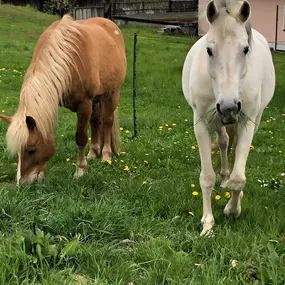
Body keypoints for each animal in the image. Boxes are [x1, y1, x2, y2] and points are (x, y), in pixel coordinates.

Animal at [0, 15, 126, 184]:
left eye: (32, 150)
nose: (23, 184)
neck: (67, 58)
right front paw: (42, 173)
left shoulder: (84, 104)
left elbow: (81, 138)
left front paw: (80, 170)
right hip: (96, 100)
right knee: (96, 122)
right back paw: (93, 153)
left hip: (112, 95)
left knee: (107, 122)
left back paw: (106, 155)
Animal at [182, 0, 276, 235]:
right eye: (209, 50)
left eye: (245, 49)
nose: (229, 108)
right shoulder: (201, 124)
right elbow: (207, 177)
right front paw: (207, 224)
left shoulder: (247, 123)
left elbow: (239, 178)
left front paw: (232, 210)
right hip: (217, 121)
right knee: (224, 143)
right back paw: (223, 178)